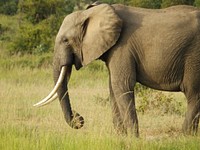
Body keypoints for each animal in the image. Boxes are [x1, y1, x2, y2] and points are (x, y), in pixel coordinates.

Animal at [34, 2, 200, 137]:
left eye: (65, 40)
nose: (78, 118)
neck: (92, 12)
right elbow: (112, 88)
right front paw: (122, 136)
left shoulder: (123, 46)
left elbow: (121, 84)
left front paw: (133, 139)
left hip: (194, 56)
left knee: (193, 94)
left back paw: (186, 135)